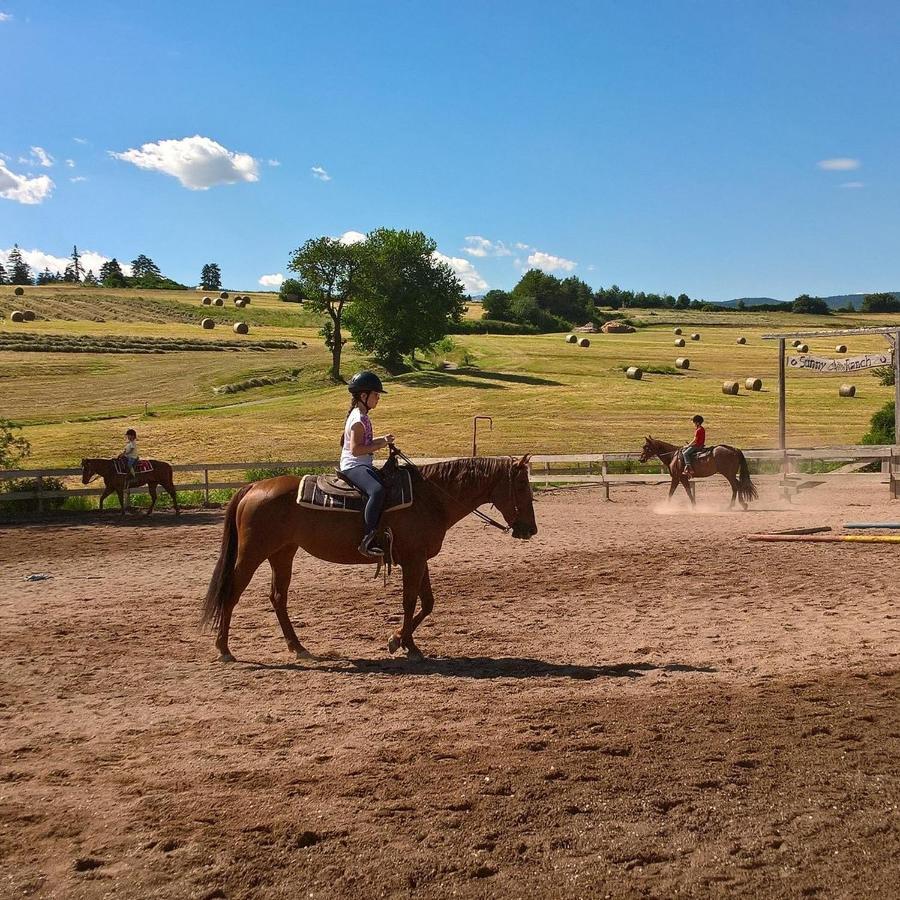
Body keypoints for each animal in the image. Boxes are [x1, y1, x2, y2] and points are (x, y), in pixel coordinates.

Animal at [202, 458, 536, 660]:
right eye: (521, 485)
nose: (530, 529)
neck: (432, 498)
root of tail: (253, 487)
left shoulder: (419, 558)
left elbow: (427, 602)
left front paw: (402, 640)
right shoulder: (413, 560)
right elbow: (410, 601)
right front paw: (404, 644)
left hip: (282, 553)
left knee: (278, 597)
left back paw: (298, 647)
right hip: (252, 554)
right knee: (231, 593)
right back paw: (224, 649)